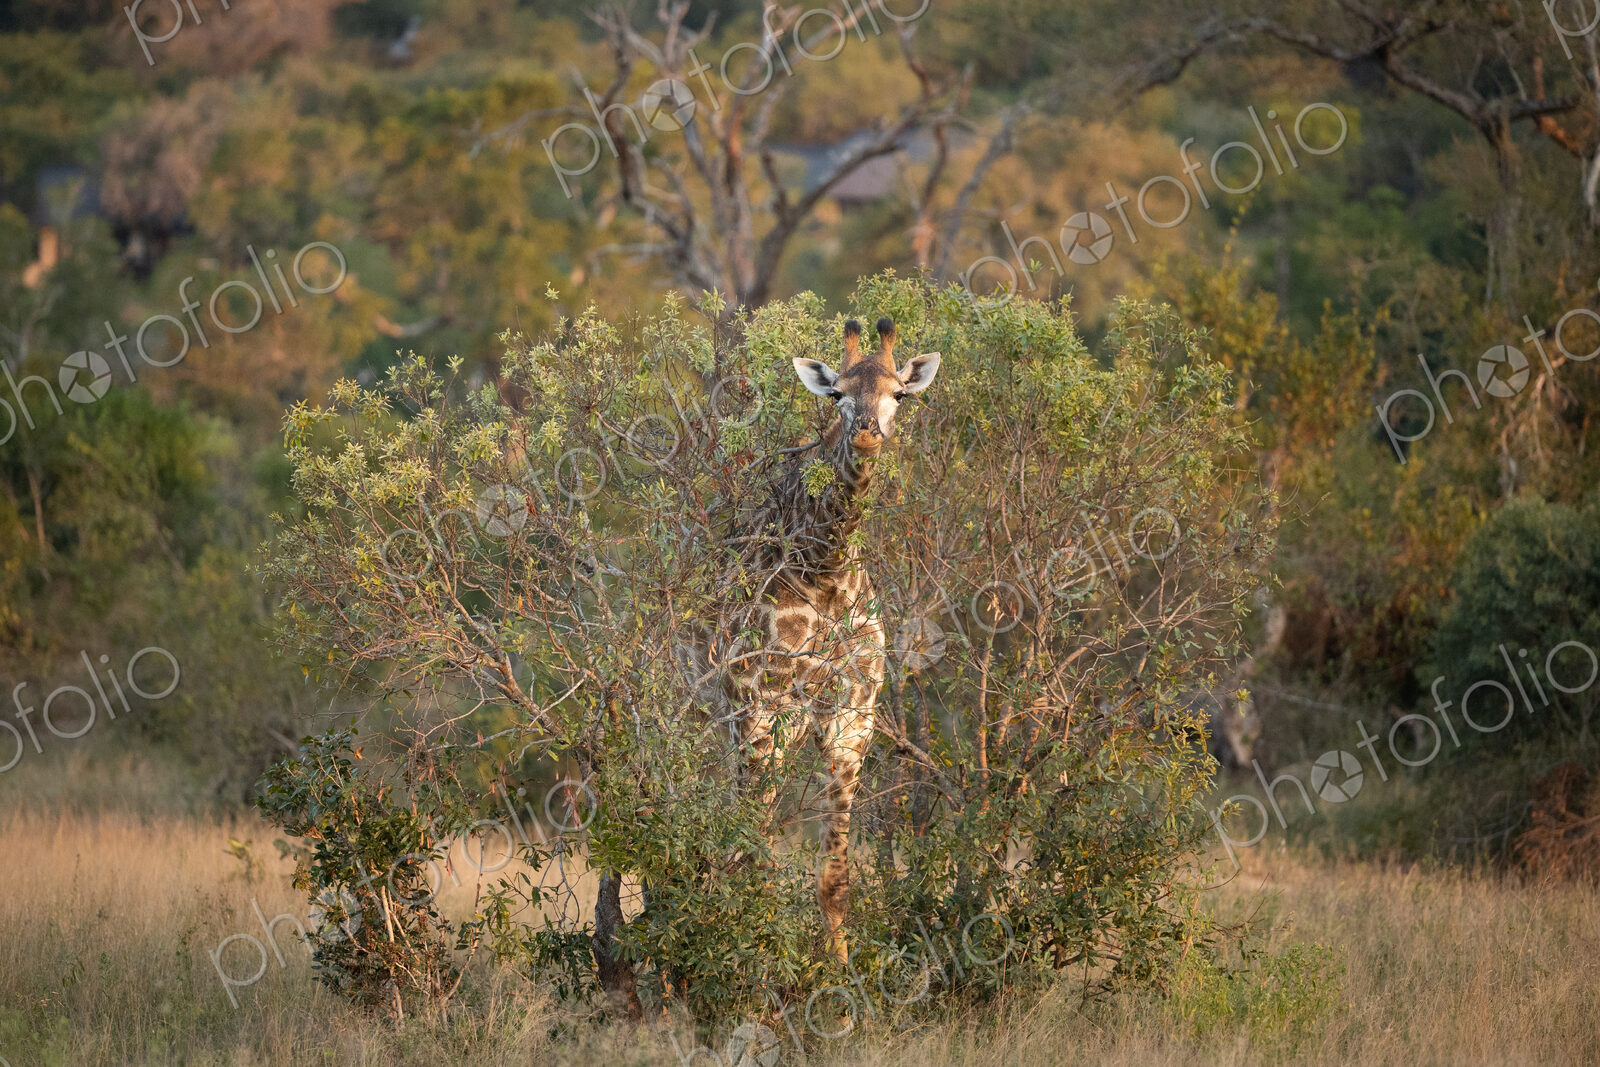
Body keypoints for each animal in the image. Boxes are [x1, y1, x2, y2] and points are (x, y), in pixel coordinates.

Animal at [713, 316, 941, 964]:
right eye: (837, 394)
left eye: (900, 395)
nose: (865, 435)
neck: (826, 565)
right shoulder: (764, 704)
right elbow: (757, 849)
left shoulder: (852, 716)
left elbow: (835, 872)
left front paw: (839, 968)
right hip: (742, 717)